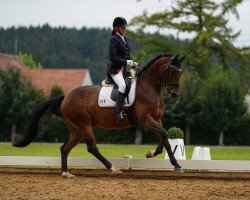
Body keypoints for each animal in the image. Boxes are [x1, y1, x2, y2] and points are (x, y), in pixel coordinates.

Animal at [12, 53, 187, 178]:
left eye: (180, 73)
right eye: (172, 71)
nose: (175, 94)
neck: (149, 88)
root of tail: (66, 97)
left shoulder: (157, 119)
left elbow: (165, 138)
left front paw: (166, 160)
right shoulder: (145, 120)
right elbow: (164, 135)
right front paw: (165, 159)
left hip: (76, 129)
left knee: (64, 148)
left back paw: (66, 173)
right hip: (84, 125)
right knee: (92, 148)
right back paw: (113, 168)